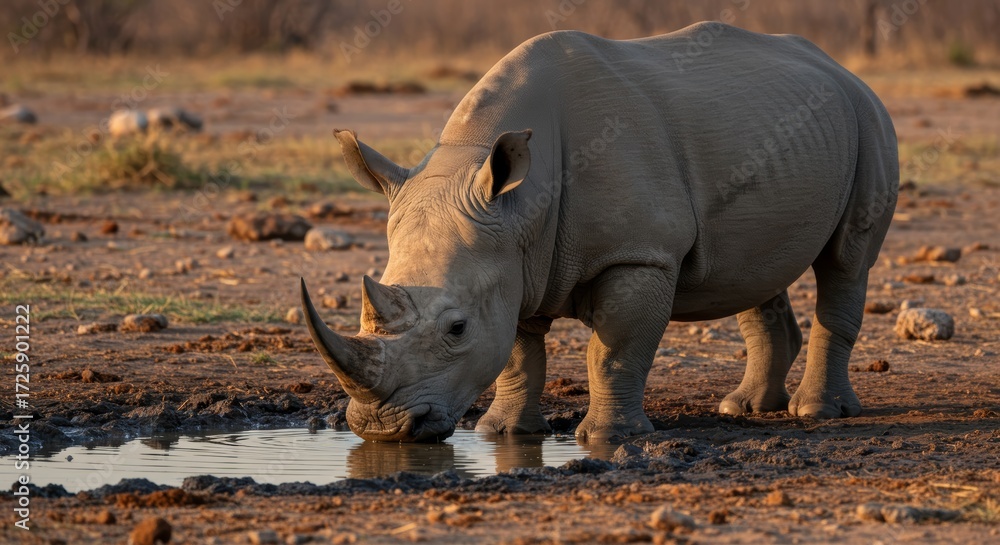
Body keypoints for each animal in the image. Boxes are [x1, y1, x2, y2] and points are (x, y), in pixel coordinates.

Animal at [301, 22, 898, 442]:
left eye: (457, 329)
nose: (380, 429)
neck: (520, 203)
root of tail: (839, 67)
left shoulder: (637, 254)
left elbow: (613, 350)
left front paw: (609, 439)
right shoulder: (516, 258)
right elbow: (518, 352)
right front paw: (503, 433)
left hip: (870, 118)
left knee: (846, 262)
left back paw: (817, 411)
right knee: (752, 266)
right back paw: (744, 408)